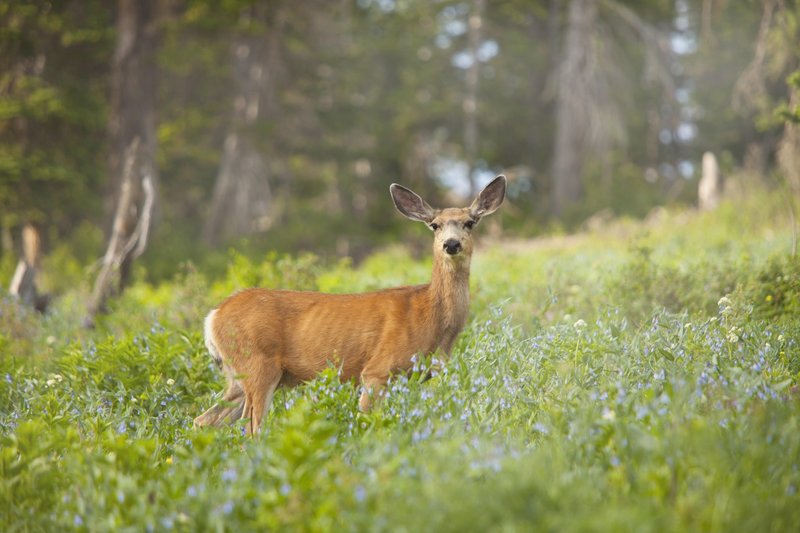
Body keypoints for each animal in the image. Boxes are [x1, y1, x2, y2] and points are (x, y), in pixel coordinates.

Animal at [194, 177, 506, 434]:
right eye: (435, 225)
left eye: (470, 222)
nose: (451, 244)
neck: (431, 317)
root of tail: (212, 317)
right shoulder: (377, 371)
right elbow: (369, 422)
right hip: (258, 365)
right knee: (252, 429)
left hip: (236, 378)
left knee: (204, 420)